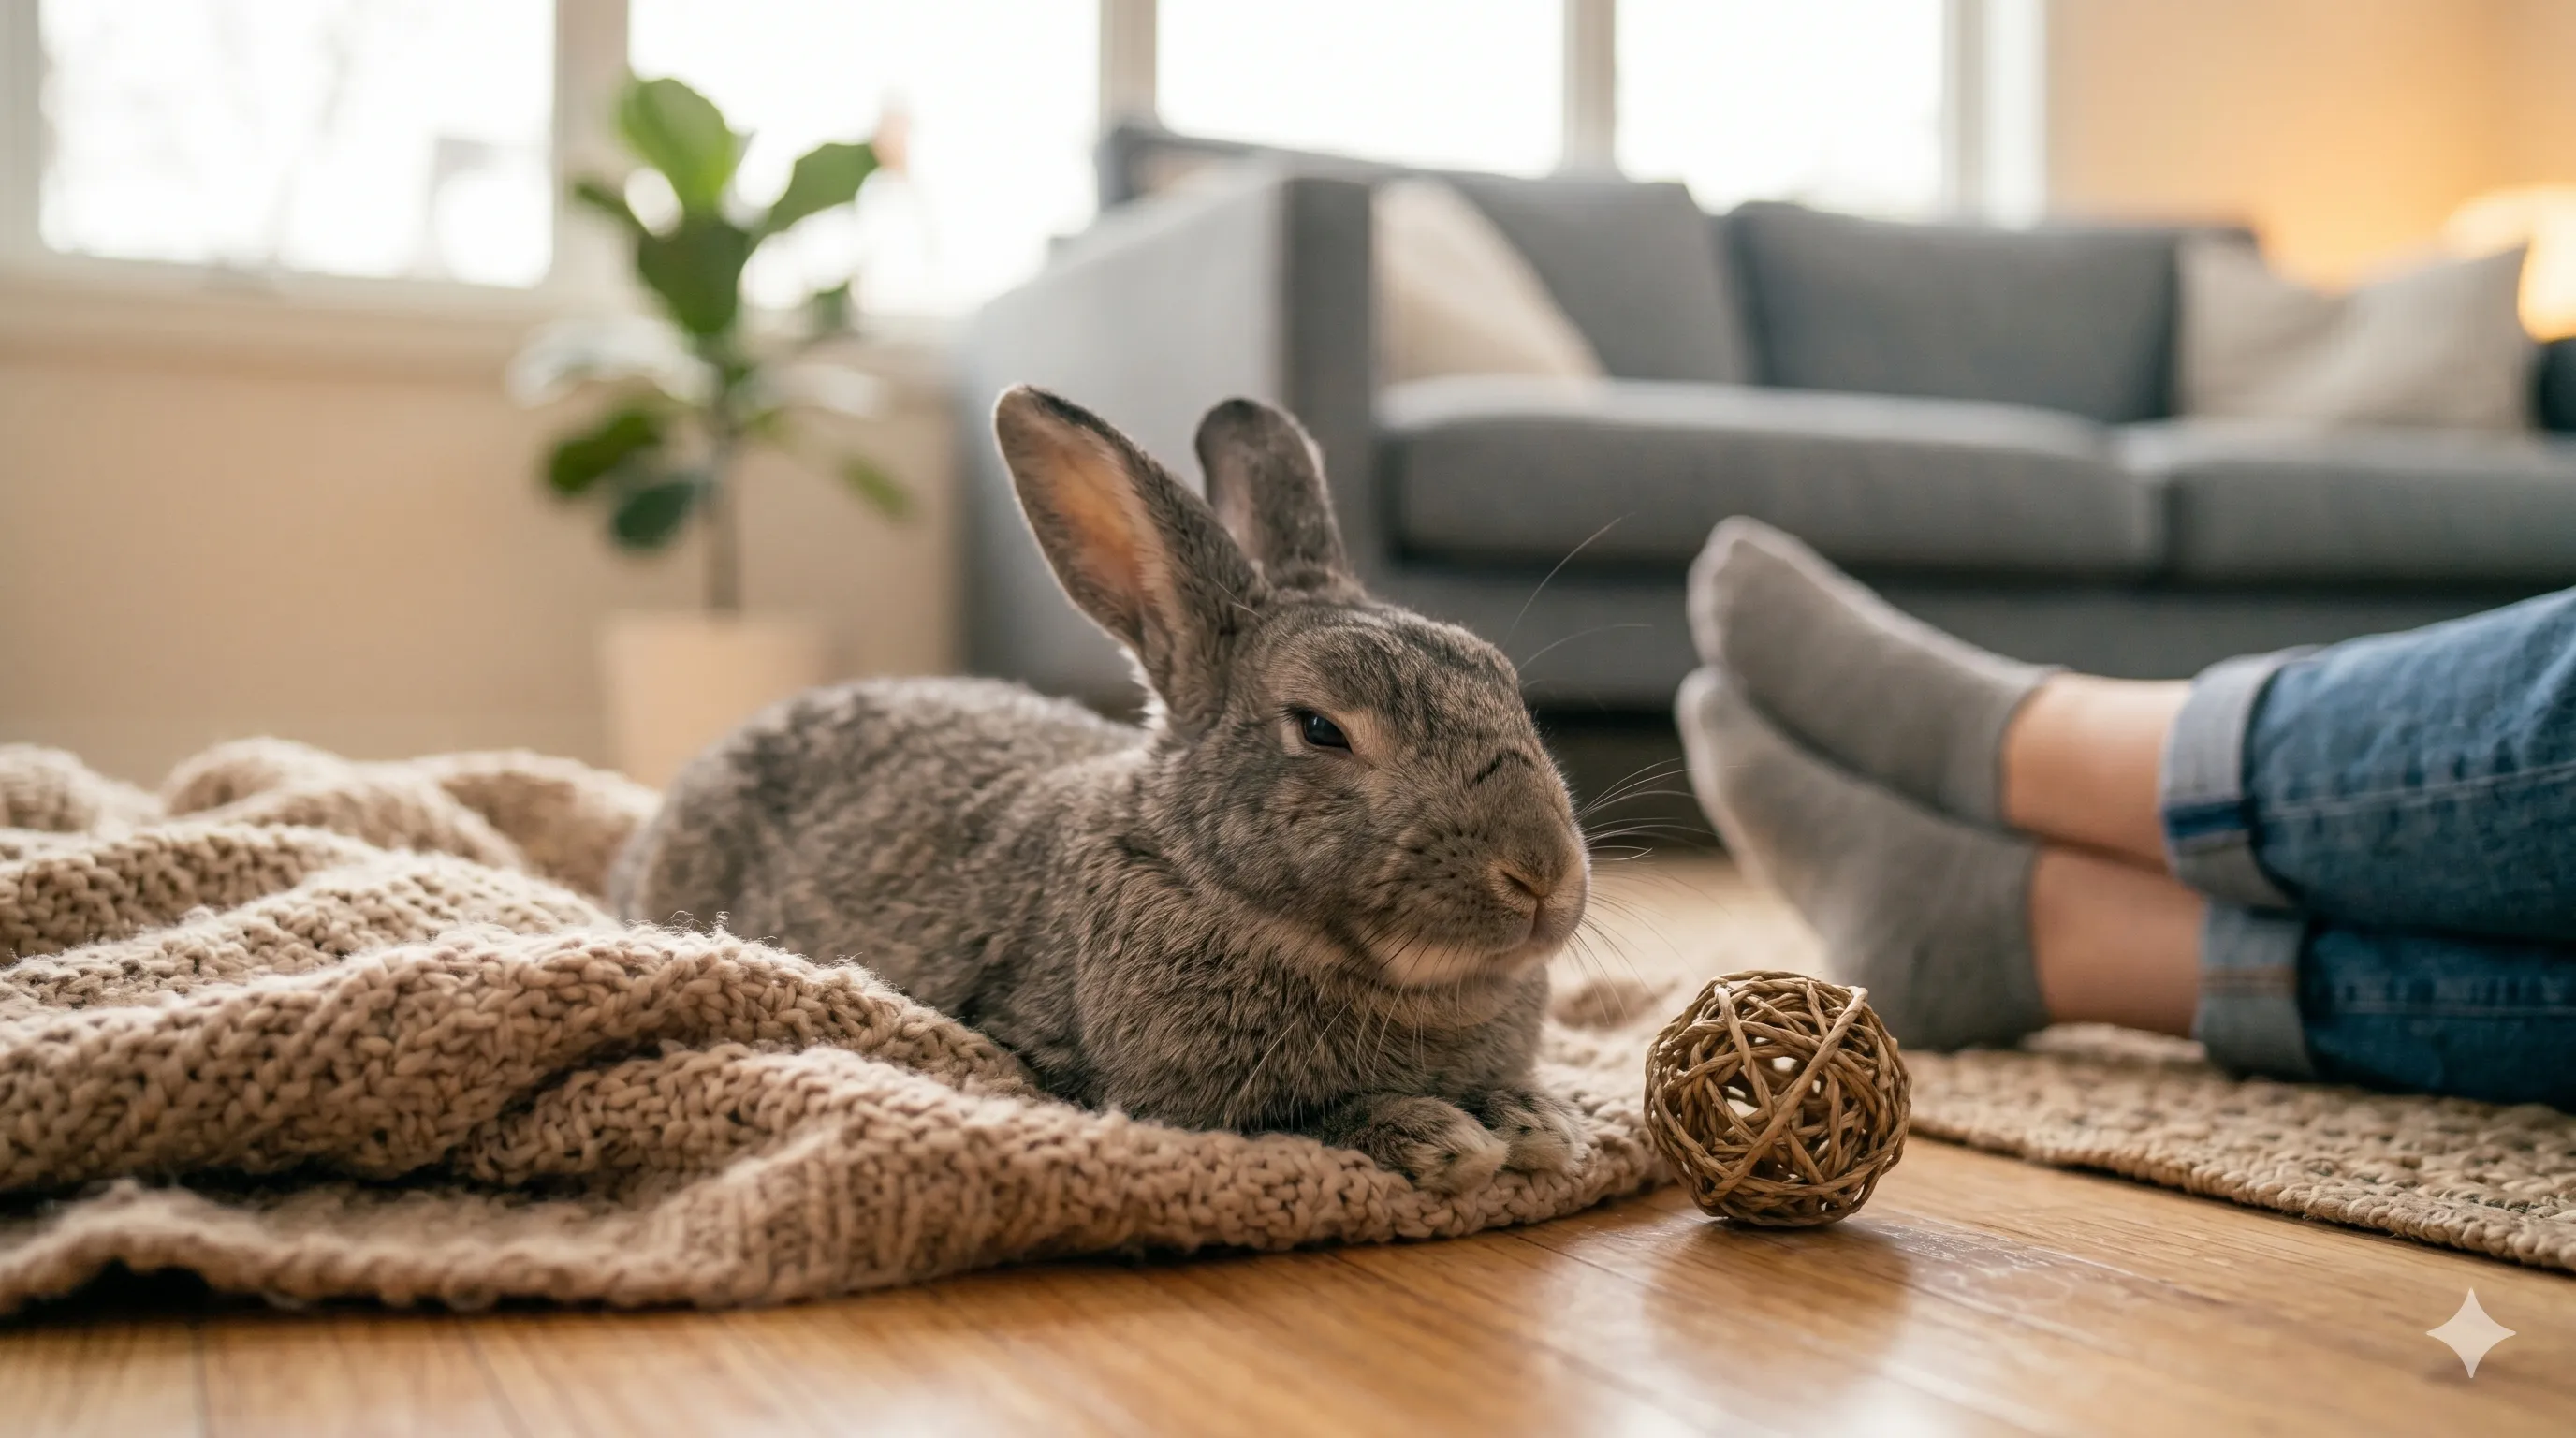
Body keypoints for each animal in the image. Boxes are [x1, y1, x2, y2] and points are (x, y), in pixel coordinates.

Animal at [610, 387, 1593, 1193]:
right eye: (1321, 729)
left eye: (1508, 685)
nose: (1542, 876)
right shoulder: (1141, 1090)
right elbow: (1303, 1120)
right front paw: (1442, 1136)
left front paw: (1537, 1123)